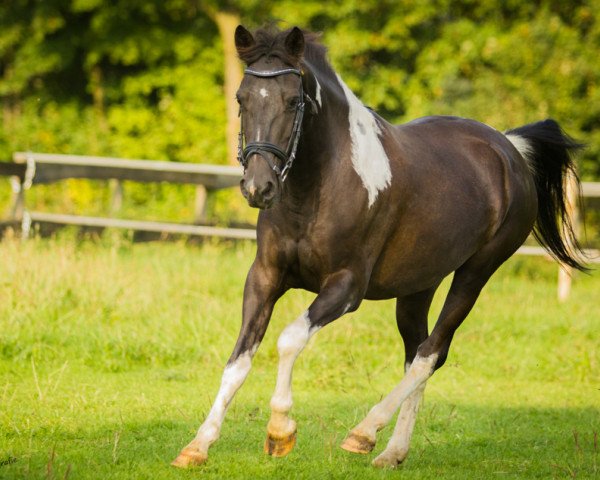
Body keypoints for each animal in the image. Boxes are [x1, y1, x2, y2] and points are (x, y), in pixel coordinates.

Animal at [170, 24, 584, 466]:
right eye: (241, 98)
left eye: (293, 100)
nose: (258, 188)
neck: (316, 189)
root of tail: (511, 148)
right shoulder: (264, 277)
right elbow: (238, 360)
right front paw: (198, 445)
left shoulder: (346, 287)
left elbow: (289, 339)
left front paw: (280, 432)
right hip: (419, 286)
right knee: (419, 353)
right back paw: (391, 452)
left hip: (476, 273)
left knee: (429, 354)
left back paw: (364, 433)